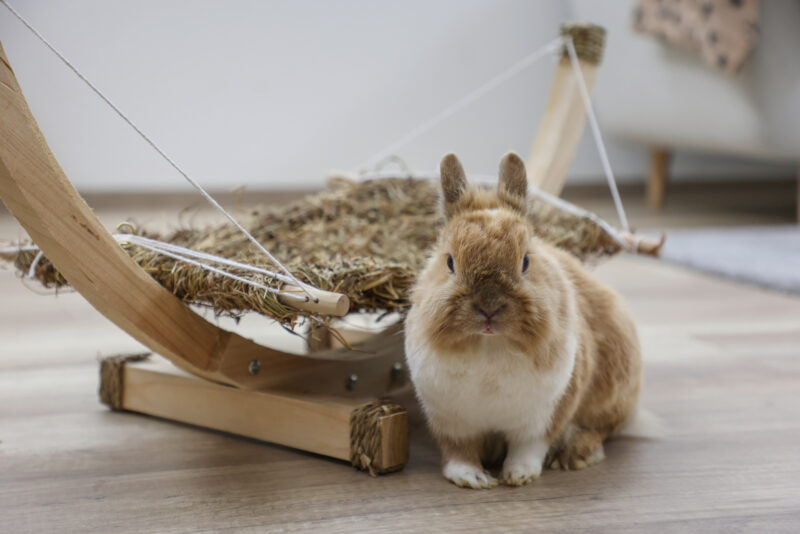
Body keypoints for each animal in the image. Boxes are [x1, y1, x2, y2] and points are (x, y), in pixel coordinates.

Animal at [404, 151, 640, 490]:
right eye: (449, 262)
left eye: (526, 261)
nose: (489, 307)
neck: (489, 346)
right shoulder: (450, 422)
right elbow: (459, 452)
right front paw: (473, 479)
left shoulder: (544, 417)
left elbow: (528, 448)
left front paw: (518, 476)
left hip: (613, 394)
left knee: (601, 429)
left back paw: (576, 454)